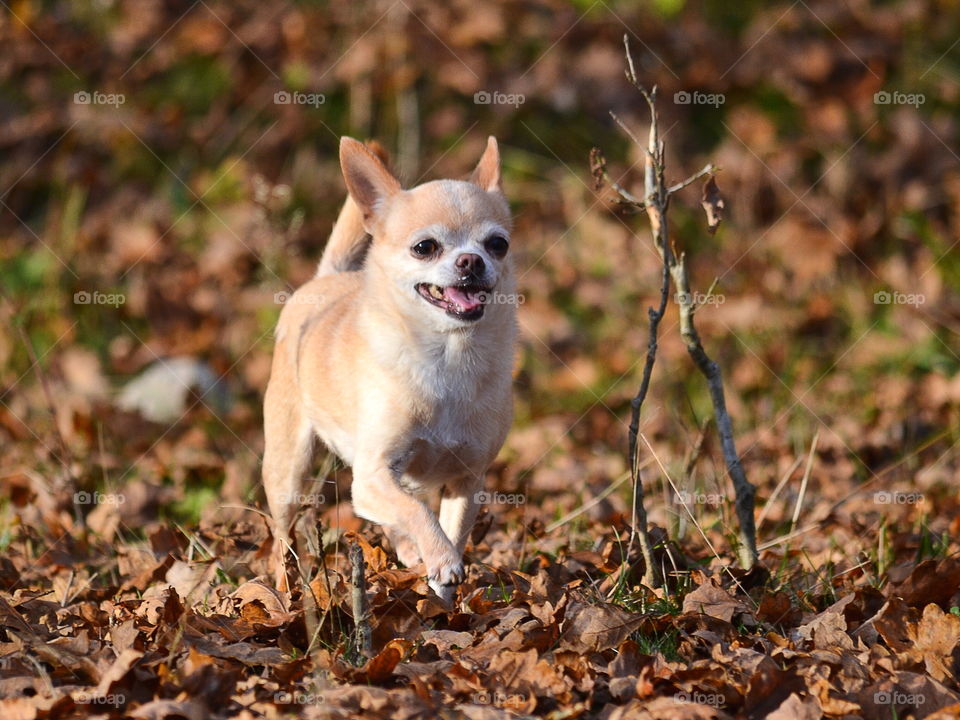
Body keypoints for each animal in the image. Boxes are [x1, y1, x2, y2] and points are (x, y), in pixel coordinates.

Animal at [262, 138, 516, 600]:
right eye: (425, 247)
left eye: (498, 244)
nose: (471, 261)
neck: (448, 356)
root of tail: (325, 280)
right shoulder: (374, 475)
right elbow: (417, 511)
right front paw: (441, 559)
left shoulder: (467, 481)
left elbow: (450, 529)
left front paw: (444, 593)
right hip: (288, 469)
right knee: (282, 539)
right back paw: (285, 588)